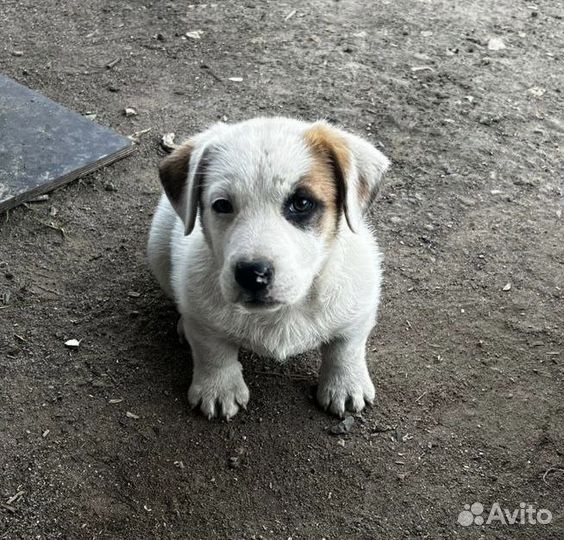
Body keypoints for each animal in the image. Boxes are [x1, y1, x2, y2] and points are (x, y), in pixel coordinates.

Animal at [148, 117, 390, 422]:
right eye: (222, 205)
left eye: (302, 203)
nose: (252, 274)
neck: (285, 311)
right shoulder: (203, 318)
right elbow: (213, 352)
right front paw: (218, 388)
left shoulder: (359, 308)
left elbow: (346, 348)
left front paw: (345, 384)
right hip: (157, 247)